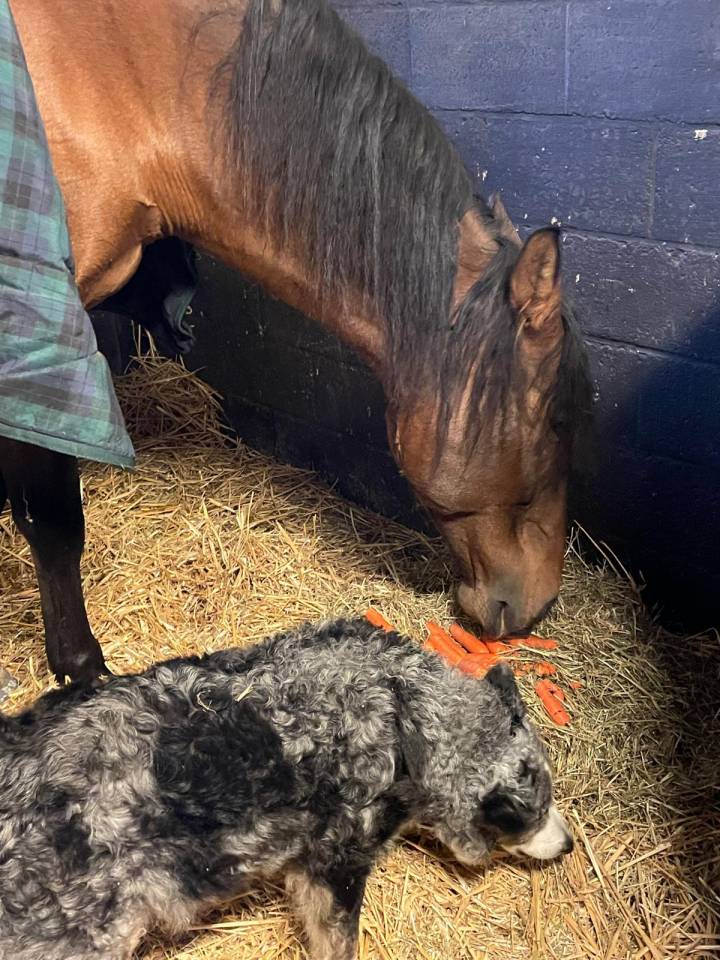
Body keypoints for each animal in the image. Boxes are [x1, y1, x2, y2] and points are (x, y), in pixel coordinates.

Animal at [0, 0, 591, 685]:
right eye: (554, 422)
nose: (539, 604)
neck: (116, 90)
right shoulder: (37, 337)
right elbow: (54, 523)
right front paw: (84, 669)